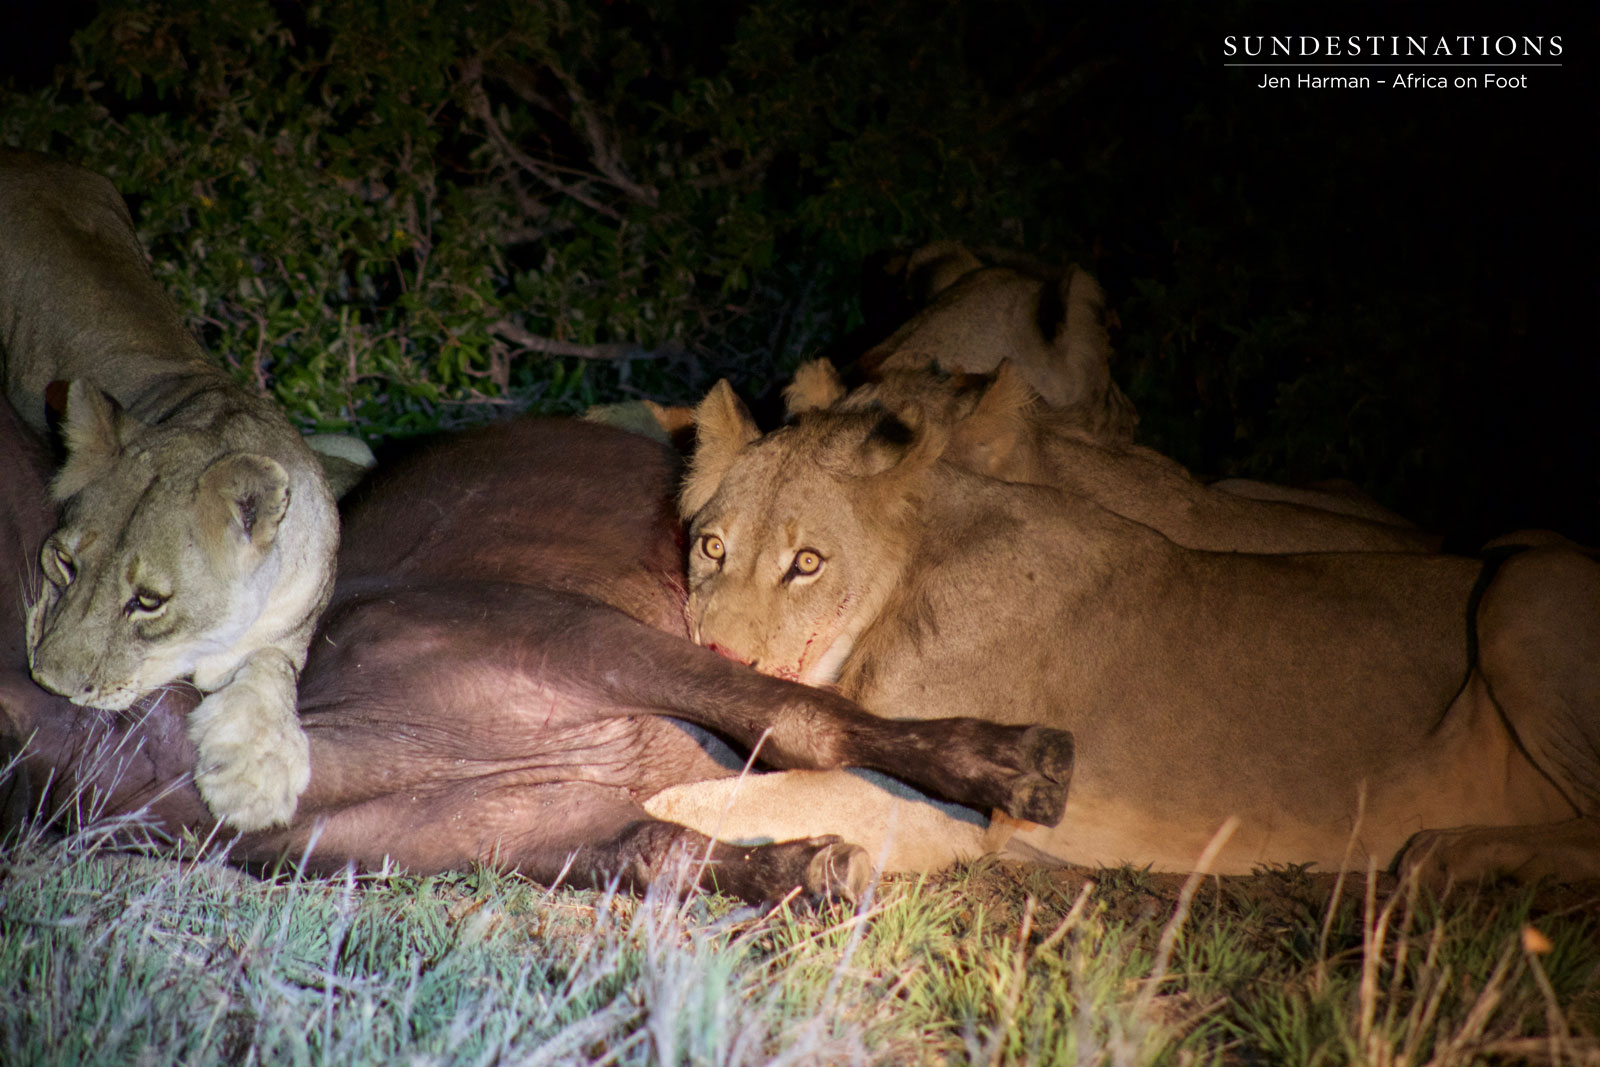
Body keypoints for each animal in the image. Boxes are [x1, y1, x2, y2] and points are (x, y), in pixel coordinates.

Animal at [1, 148, 338, 832]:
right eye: (66, 563)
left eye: (149, 601)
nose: (49, 684)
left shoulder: (294, 630)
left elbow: (272, 669)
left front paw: (255, 775)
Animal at [653, 382, 1600, 886]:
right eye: (711, 546)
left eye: (807, 563)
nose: (717, 658)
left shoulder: (940, 802)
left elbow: (692, 800)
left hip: (1525, 580)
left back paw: (1456, 849)